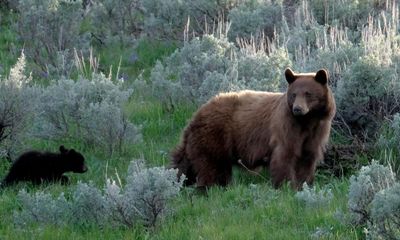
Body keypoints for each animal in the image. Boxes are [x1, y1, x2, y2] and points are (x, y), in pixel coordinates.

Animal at [171, 67, 334, 189]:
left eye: (308, 93)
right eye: (294, 94)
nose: (297, 109)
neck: (306, 121)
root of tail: (197, 114)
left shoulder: (316, 131)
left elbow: (307, 158)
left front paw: (304, 184)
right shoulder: (286, 127)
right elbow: (285, 155)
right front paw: (287, 185)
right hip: (214, 135)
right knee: (210, 166)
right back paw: (207, 188)